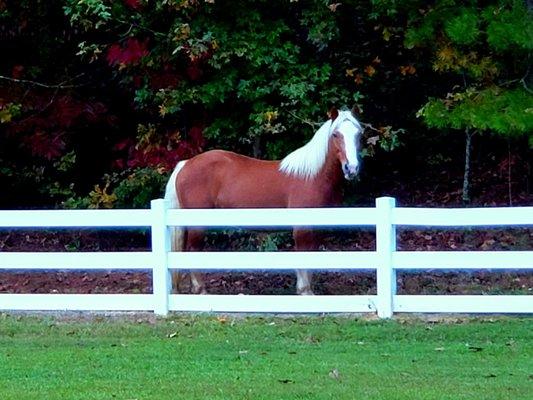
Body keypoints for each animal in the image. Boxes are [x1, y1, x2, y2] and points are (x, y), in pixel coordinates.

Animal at [163, 108, 362, 296]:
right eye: (335, 134)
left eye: (358, 134)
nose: (351, 168)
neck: (311, 176)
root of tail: (185, 164)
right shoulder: (302, 228)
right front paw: (305, 291)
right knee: (193, 250)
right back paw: (201, 290)